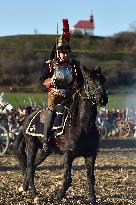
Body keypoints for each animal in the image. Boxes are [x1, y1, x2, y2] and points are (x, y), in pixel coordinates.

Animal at [14, 66, 108, 204]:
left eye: (103, 79)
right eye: (90, 80)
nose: (103, 99)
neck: (83, 125)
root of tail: (28, 119)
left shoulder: (91, 155)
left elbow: (91, 178)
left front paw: (93, 200)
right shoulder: (68, 155)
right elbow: (68, 178)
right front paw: (59, 196)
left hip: (44, 152)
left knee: (32, 167)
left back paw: (23, 188)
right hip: (31, 146)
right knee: (30, 168)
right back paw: (35, 195)